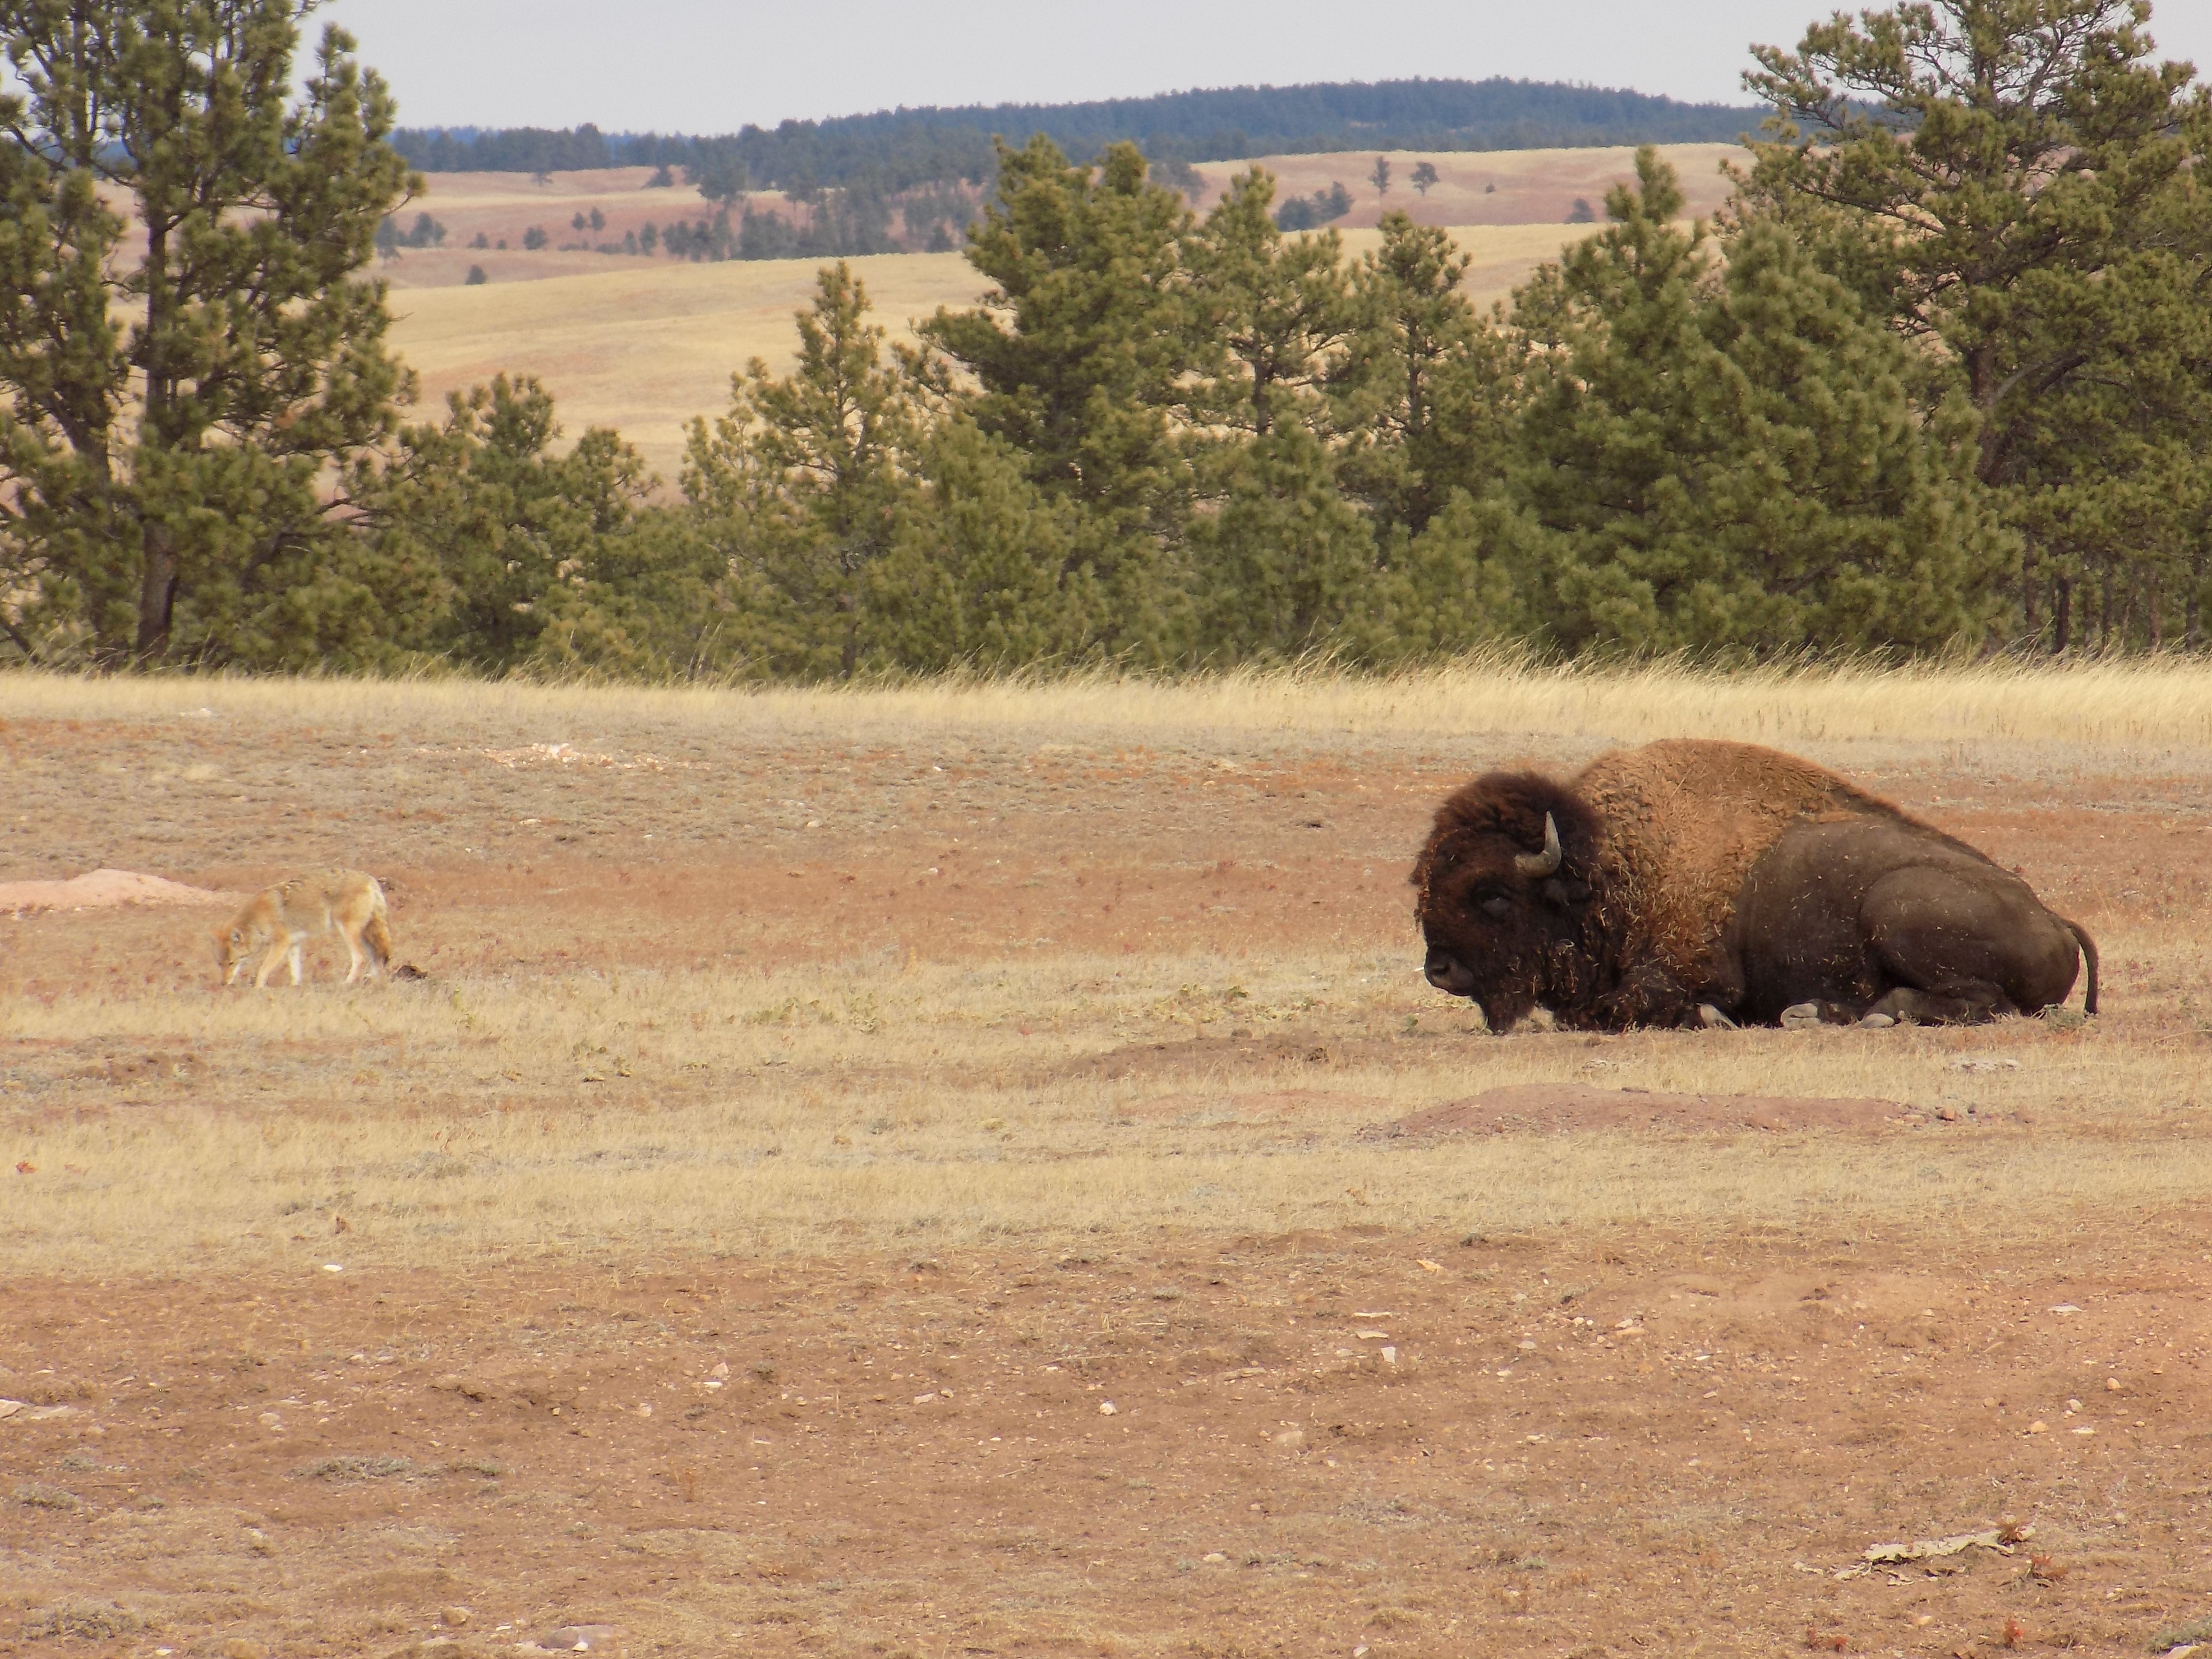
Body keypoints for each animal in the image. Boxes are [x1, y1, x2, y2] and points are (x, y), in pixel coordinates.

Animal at [1412, 738, 2096, 1031]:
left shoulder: (1691, 971)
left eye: (1493, 894)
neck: (1616, 868)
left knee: (1982, 1001)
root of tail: (2056, 920)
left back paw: (1864, 1014)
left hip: (1894, 908)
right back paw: (1817, 1012)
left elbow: (1606, 1011)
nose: (1439, 970)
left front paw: (1710, 1017)